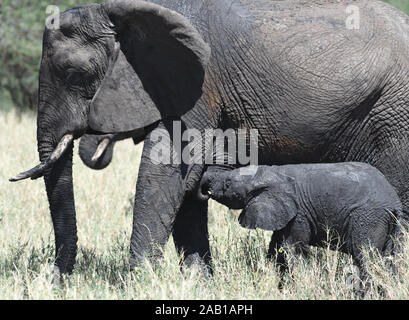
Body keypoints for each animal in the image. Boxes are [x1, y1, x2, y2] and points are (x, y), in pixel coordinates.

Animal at [199, 162, 404, 288]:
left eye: (227, 183)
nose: (204, 187)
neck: (272, 174)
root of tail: (394, 201)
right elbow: (277, 250)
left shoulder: (299, 214)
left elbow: (293, 251)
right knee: (389, 258)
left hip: (369, 217)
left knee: (366, 257)